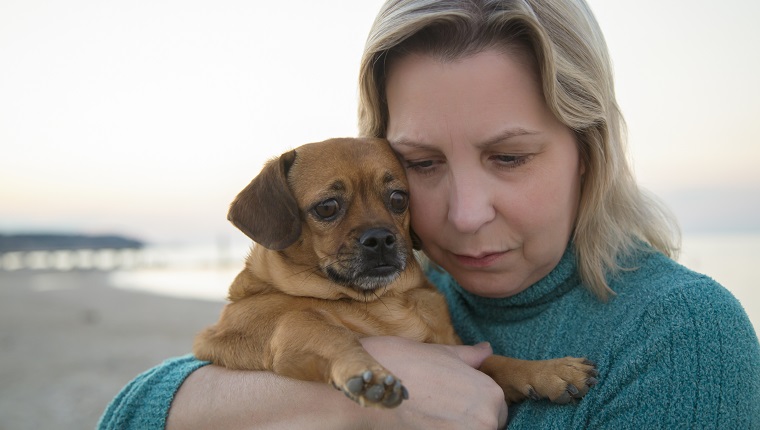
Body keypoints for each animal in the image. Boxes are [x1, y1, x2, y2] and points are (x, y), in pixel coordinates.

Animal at [193, 136, 596, 408]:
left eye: (399, 199)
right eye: (327, 207)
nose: (380, 238)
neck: (382, 301)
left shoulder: (456, 349)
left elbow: (495, 359)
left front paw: (548, 371)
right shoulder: (292, 328)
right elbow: (335, 335)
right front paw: (368, 371)